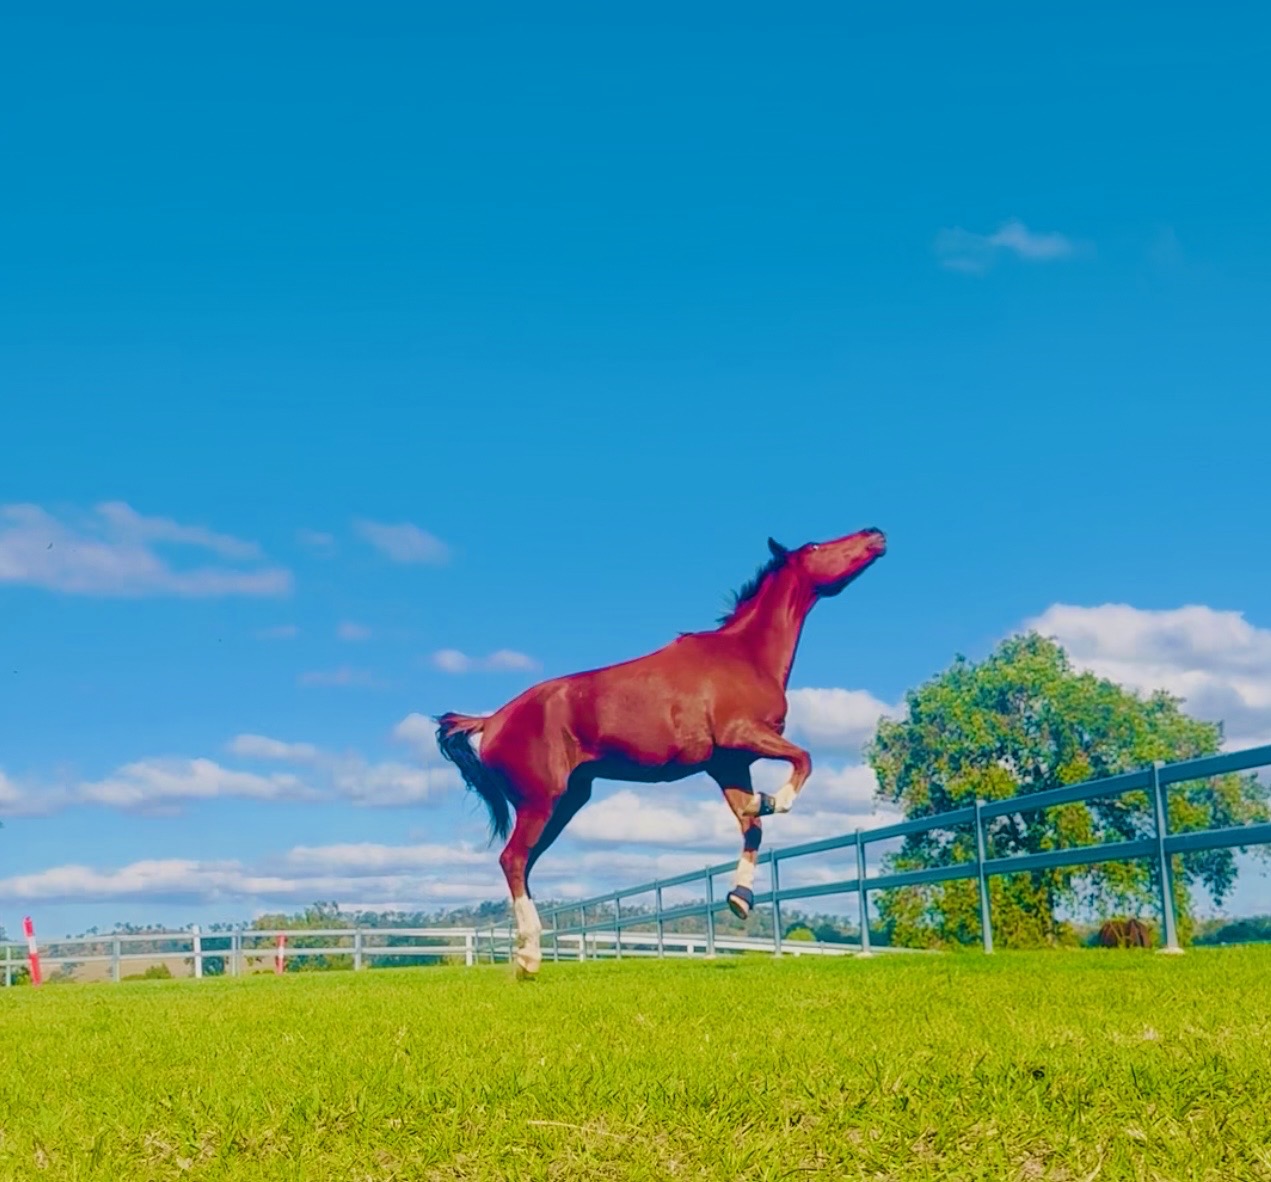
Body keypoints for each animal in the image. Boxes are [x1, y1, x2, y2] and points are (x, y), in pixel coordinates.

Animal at [434, 526, 887, 977]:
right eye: (814, 547)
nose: (875, 534)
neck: (743, 655)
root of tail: (491, 720)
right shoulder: (742, 737)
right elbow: (803, 761)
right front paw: (773, 801)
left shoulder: (729, 765)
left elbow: (752, 827)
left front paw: (740, 898)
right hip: (541, 802)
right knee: (512, 860)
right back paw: (529, 958)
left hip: (564, 804)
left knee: (524, 864)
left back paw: (526, 953)